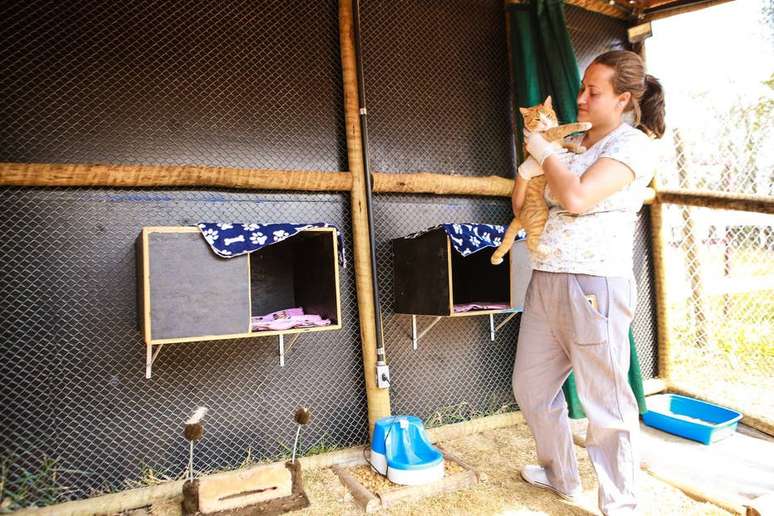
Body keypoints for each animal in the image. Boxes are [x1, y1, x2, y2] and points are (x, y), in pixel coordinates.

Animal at [492, 95, 596, 266]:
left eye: (548, 115)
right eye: (537, 119)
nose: (546, 123)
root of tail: (520, 215)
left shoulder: (559, 142)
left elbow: (566, 144)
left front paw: (578, 148)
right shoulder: (547, 136)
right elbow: (563, 129)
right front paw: (584, 124)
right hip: (540, 214)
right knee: (531, 241)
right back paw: (545, 249)